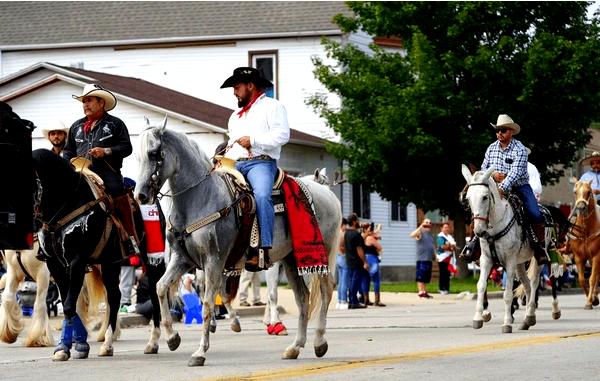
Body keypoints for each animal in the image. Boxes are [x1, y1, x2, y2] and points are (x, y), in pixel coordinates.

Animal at [31, 148, 165, 360]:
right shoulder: (55, 264)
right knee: (115, 296)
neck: (67, 203)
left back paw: (154, 342)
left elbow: (69, 306)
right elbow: (70, 304)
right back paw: (107, 344)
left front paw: (78, 345)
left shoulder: (76, 261)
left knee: (153, 291)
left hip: (149, 259)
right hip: (110, 262)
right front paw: (65, 347)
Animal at [136, 116, 342, 366]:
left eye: (154, 153)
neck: (200, 198)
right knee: (303, 298)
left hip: (320, 256)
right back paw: (295, 347)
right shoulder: (182, 259)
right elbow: (161, 287)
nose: (140, 195)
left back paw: (319, 342)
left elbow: (207, 303)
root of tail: (327, 194)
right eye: (137, 155)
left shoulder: (214, 261)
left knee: (326, 290)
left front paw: (200, 352)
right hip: (291, 260)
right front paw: (172, 337)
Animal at [462, 165, 540, 332]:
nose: (478, 230)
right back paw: (526, 321)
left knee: (534, 283)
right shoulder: (486, 259)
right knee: (527, 285)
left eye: (485, 197)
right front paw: (478, 318)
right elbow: (481, 286)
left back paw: (530, 315)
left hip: (537, 258)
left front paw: (507, 323)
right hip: (520, 263)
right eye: (468, 198)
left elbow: (508, 293)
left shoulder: (509, 260)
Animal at [568, 180, 600, 308]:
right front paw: (591, 299)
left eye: (588, 192)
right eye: (575, 192)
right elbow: (582, 279)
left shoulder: (597, 256)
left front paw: (589, 301)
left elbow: (592, 279)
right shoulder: (579, 257)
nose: (581, 208)